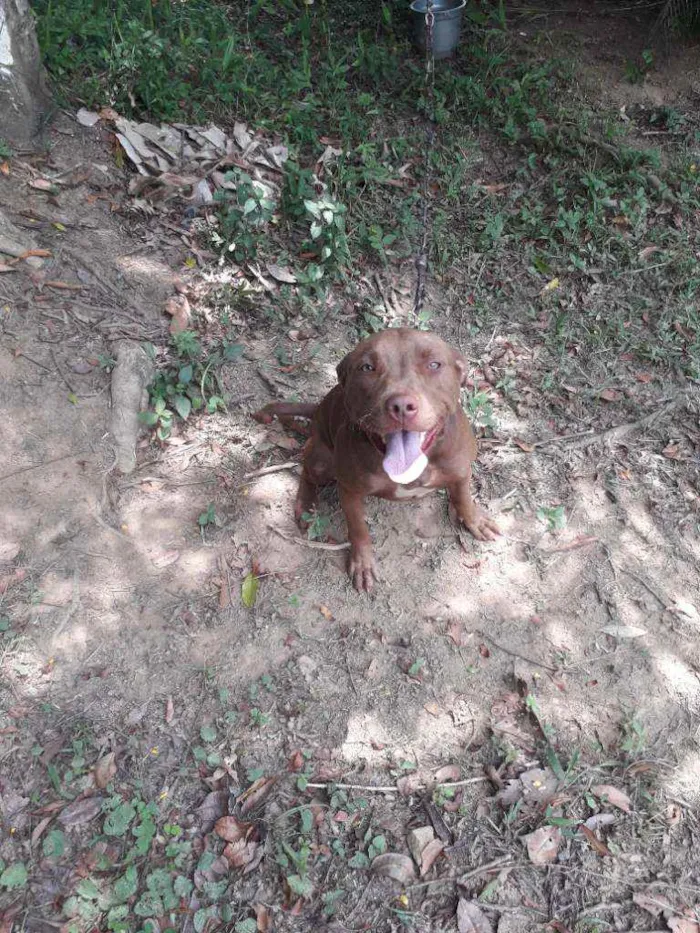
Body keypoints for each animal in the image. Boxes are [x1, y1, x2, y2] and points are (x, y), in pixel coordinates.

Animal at [254, 328, 500, 588]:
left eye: (434, 364)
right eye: (367, 367)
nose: (401, 405)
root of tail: (319, 408)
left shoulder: (461, 471)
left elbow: (464, 499)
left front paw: (475, 521)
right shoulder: (349, 490)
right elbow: (358, 529)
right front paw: (363, 564)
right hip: (323, 460)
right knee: (307, 471)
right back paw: (306, 505)